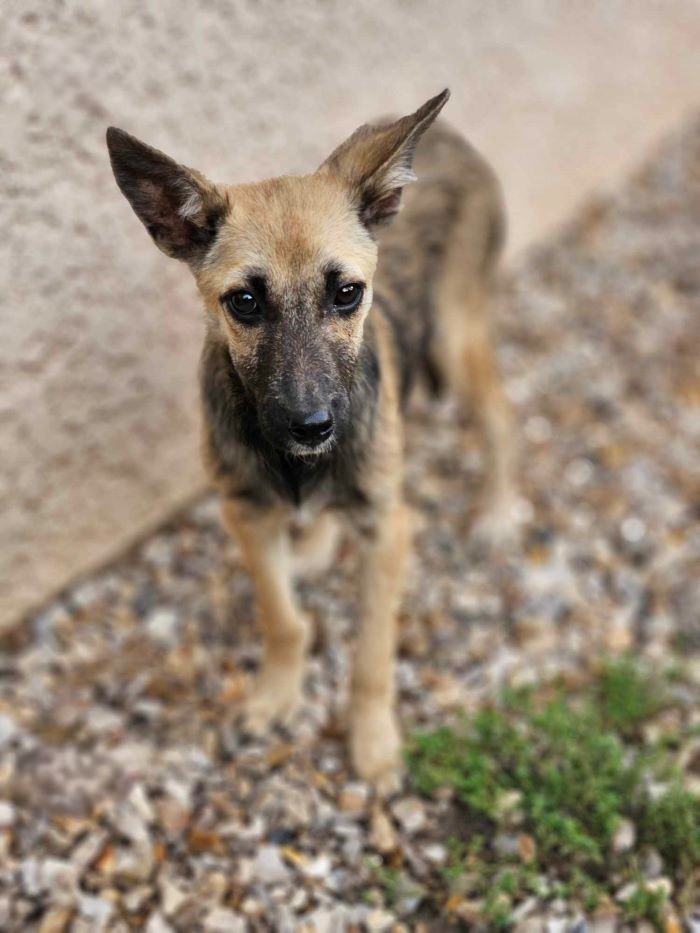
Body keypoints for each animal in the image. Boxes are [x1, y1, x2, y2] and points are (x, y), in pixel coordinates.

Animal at [106, 89, 516, 788]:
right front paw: (277, 694)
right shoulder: (246, 514)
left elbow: (372, 655)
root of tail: (449, 138)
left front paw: (372, 741)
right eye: (244, 302)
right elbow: (282, 618)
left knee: (498, 413)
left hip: (453, 337)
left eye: (347, 293)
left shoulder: (387, 527)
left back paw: (498, 509)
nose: (313, 426)